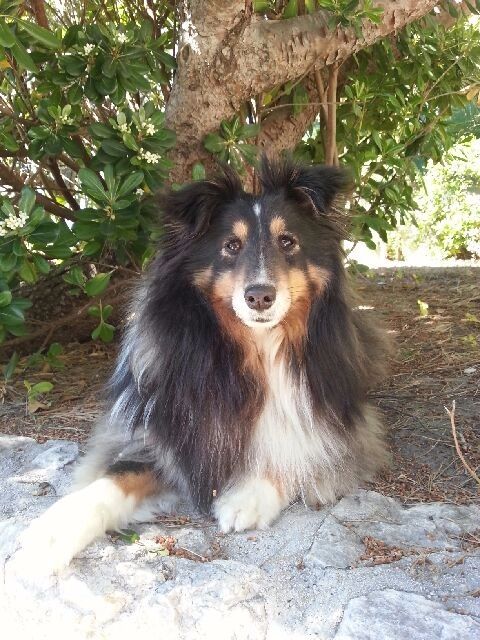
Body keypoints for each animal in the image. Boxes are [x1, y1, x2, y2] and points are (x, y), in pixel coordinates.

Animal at [15, 158, 390, 572]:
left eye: (288, 242)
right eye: (231, 246)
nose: (260, 297)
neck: (254, 350)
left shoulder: (347, 429)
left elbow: (297, 446)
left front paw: (248, 495)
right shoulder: (164, 431)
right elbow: (116, 476)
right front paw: (52, 533)